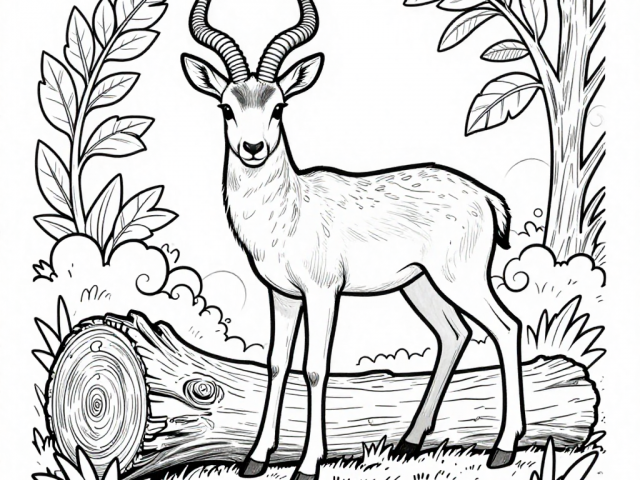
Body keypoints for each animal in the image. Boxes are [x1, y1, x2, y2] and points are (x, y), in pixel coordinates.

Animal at [181, 0, 526, 478]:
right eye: (227, 107)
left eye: (279, 107)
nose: (253, 148)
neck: (290, 209)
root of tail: (486, 196)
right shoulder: (281, 294)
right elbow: (276, 363)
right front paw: (254, 458)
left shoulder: (323, 291)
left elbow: (315, 368)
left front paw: (308, 464)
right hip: (420, 284)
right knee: (453, 334)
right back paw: (409, 442)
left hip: (461, 278)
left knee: (506, 327)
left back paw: (503, 448)